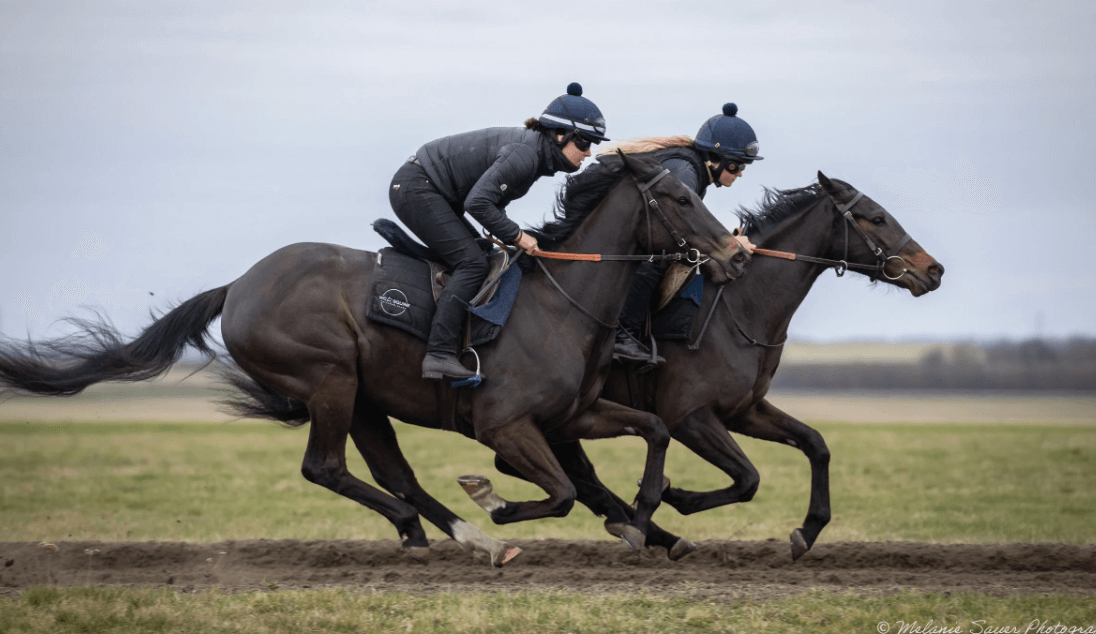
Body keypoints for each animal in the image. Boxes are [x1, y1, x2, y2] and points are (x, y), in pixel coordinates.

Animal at [0, 152, 748, 566]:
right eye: (680, 197)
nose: (735, 256)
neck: (561, 303)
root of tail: (238, 285)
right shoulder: (507, 425)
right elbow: (561, 492)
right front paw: (497, 502)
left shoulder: (576, 414)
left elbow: (652, 432)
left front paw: (647, 516)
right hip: (329, 380)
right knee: (327, 468)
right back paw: (464, 533)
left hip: (362, 395)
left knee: (395, 475)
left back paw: (455, 536)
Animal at [486, 171, 945, 561]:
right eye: (877, 217)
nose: (933, 269)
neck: (739, 308)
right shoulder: (690, 416)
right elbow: (748, 478)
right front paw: (677, 496)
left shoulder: (743, 410)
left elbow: (815, 444)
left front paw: (808, 529)